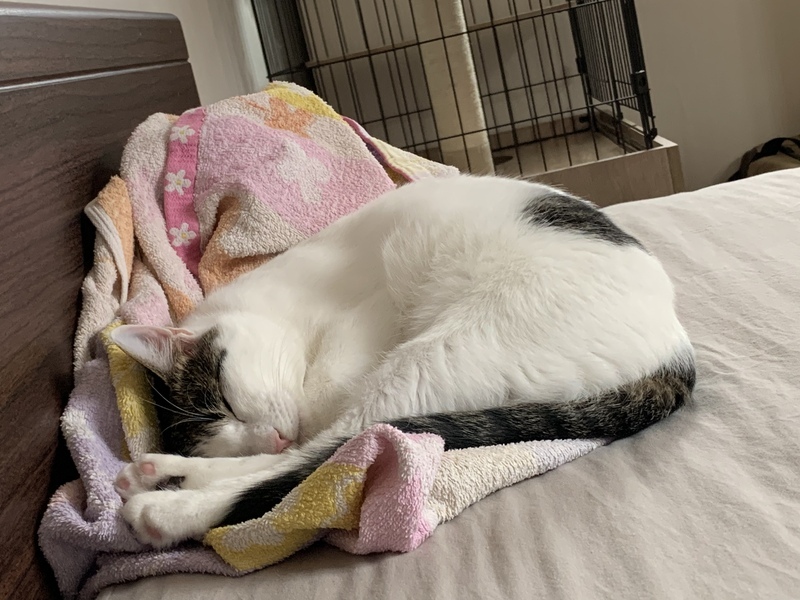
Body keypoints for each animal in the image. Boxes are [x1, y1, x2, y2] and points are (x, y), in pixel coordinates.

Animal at [111, 174, 695, 547]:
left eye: (229, 403)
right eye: (224, 427)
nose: (265, 437)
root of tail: (676, 347)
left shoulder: (368, 311)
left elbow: (319, 412)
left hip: (441, 352)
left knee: (328, 448)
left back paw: (168, 504)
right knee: (325, 448)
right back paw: (158, 472)